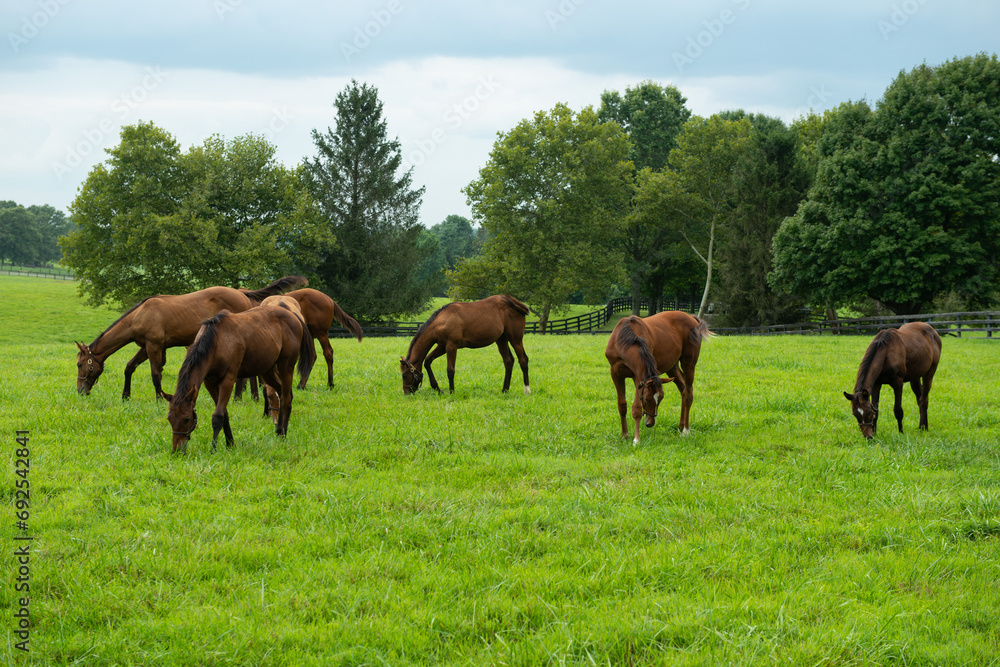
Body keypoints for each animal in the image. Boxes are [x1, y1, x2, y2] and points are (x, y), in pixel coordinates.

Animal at [74, 278, 304, 402]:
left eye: (79, 364)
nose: (80, 391)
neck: (140, 314)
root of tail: (244, 294)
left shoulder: (154, 346)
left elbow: (155, 374)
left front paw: (159, 398)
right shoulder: (146, 347)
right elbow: (129, 367)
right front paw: (126, 396)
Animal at [166, 304, 312, 454]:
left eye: (187, 418)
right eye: (169, 419)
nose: (176, 450)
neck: (216, 340)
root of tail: (293, 316)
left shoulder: (228, 381)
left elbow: (218, 416)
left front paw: (213, 449)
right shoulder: (210, 383)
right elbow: (224, 414)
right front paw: (230, 443)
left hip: (286, 367)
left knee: (286, 400)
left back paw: (283, 434)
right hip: (267, 371)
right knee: (282, 394)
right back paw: (279, 430)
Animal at [398, 294, 532, 396]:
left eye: (404, 375)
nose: (406, 393)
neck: (441, 321)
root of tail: (512, 301)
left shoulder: (451, 346)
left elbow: (450, 370)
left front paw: (451, 392)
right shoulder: (442, 346)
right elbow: (427, 361)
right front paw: (438, 389)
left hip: (515, 339)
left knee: (523, 360)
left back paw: (527, 390)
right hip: (501, 340)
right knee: (508, 361)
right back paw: (505, 390)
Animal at [600, 312, 712, 446]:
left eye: (660, 399)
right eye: (648, 399)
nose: (650, 423)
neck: (623, 340)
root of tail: (691, 318)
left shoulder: (638, 376)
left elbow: (636, 408)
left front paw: (636, 440)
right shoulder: (616, 374)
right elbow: (622, 405)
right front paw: (625, 435)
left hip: (689, 363)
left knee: (688, 393)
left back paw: (686, 430)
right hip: (672, 368)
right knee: (683, 390)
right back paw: (680, 426)